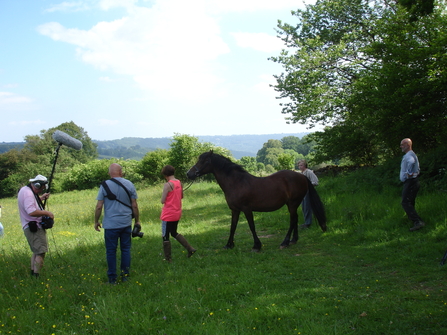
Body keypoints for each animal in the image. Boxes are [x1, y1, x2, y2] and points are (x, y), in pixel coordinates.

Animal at [187, 152, 328, 252]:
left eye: (204, 161)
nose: (189, 174)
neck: (236, 182)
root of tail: (302, 176)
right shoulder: (235, 210)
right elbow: (233, 226)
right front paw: (229, 245)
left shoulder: (247, 209)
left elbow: (251, 226)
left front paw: (256, 246)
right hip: (293, 204)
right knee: (296, 219)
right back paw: (293, 240)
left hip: (293, 203)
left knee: (293, 220)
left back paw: (285, 242)